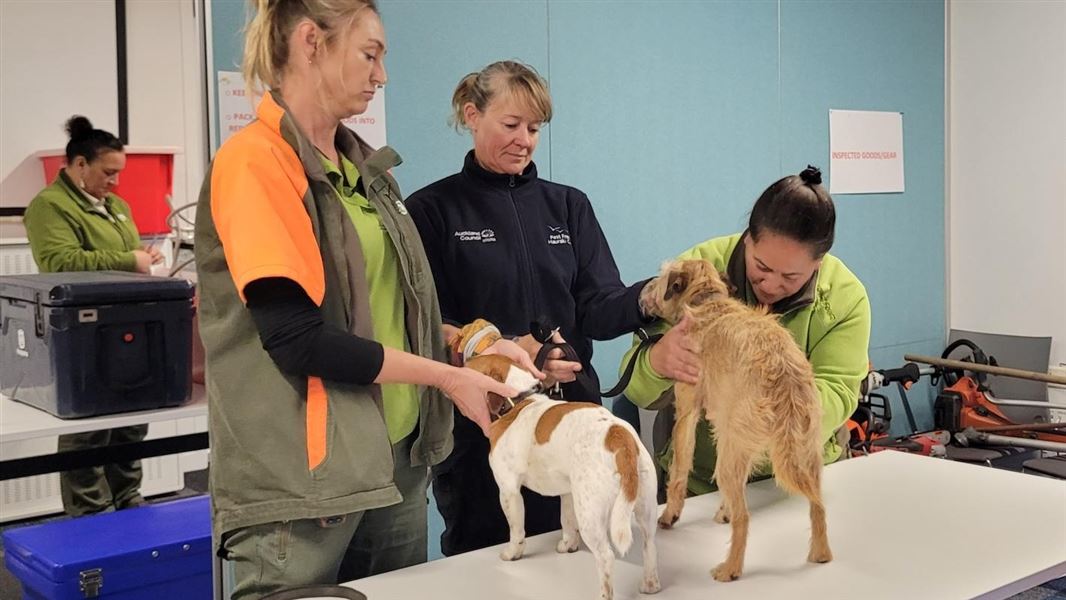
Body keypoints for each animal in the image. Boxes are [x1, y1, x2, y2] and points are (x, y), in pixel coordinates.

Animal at [469, 355, 660, 600]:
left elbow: (516, 530)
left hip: (590, 515)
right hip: (644, 506)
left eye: (472, 363)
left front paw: (513, 553)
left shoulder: (509, 491)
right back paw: (650, 584)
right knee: (649, 544)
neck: (520, 400)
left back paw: (604, 594)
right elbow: (566, 521)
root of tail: (618, 436)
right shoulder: (568, 492)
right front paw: (568, 544)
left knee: (606, 556)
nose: (461, 357)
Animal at [639, 257, 831, 584]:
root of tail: (785, 379)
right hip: (805, 453)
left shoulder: (687, 413)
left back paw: (730, 568)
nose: (641, 292)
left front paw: (669, 515)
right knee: (817, 506)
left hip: (730, 457)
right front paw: (723, 510)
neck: (707, 300)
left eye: (661, 277)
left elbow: (679, 471)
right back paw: (820, 554)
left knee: (744, 518)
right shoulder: (726, 427)